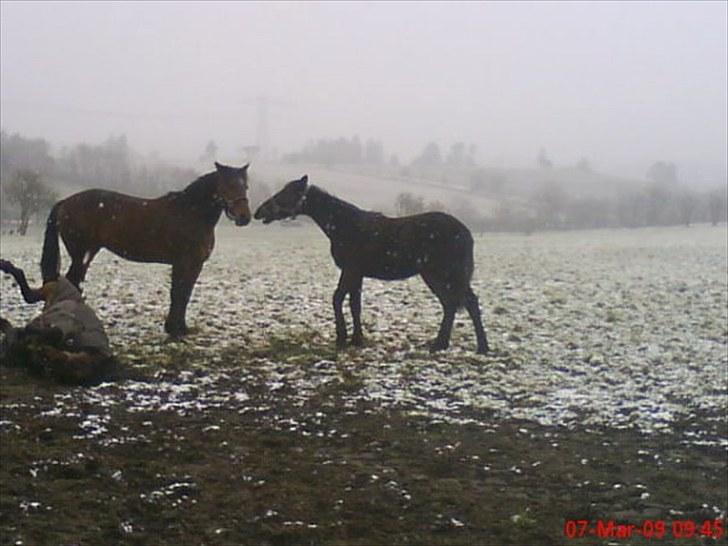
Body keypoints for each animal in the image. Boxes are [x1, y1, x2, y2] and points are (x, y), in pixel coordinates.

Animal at [39, 160, 252, 336]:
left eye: (245, 186)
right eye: (228, 185)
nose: (245, 217)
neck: (191, 213)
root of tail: (65, 202)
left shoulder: (194, 265)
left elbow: (185, 294)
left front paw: (180, 328)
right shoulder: (184, 263)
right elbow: (178, 294)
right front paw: (174, 330)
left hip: (87, 254)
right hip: (80, 254)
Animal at [255, 175, 490, 352]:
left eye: (287, 193)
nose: (259, 212)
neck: (345, 225)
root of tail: (465, 232)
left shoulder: (351, 270)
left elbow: (338, 299)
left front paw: (342, 338)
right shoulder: (356, 274)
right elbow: (354, 304)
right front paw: (356, 339)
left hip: (445, 274)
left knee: (465, 303)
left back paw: (477, 347)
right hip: (436, 276)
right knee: (451, 304)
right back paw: (443, 344)